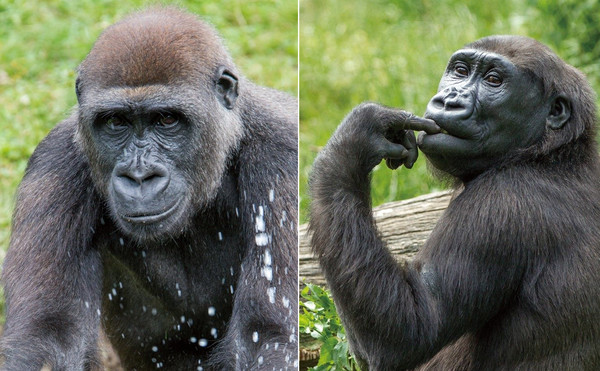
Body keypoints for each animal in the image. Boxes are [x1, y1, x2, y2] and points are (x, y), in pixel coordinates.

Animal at [1, 6, 298, 371]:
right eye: (116, 122)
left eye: (167, 119)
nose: (140, 175)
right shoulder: (56, 158)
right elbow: (47, 335)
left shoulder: (283, 148)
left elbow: (269, 335)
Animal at [310, 35, 600, 371]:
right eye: (460, 71)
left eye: (493, 80)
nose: (450, 100)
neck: (548, 153)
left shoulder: (498, 204)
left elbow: (408, 328)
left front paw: (358, 136)